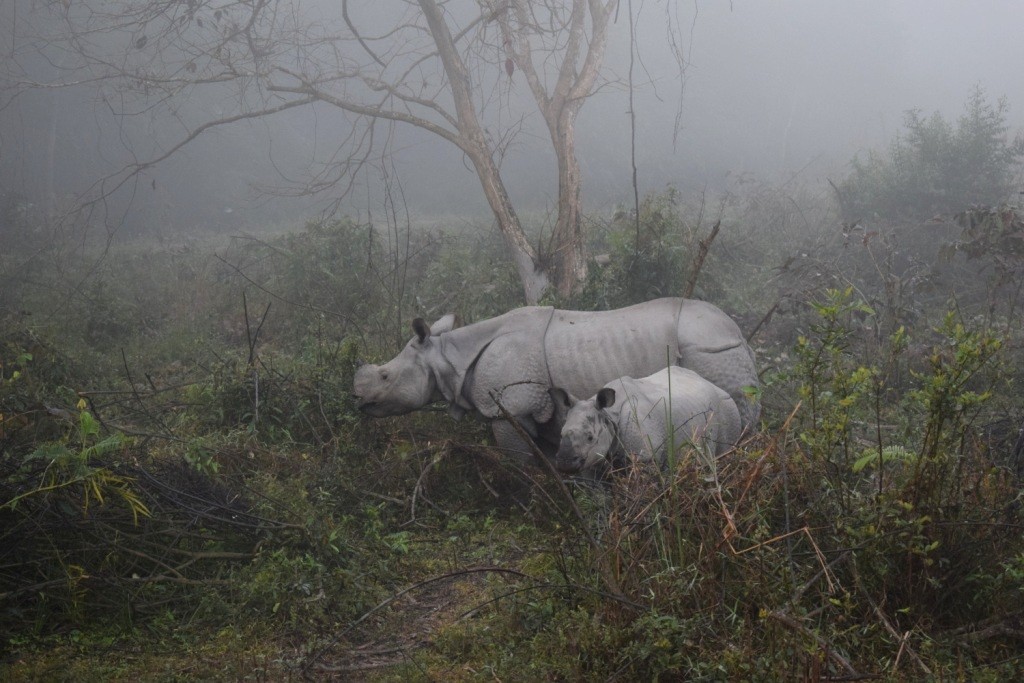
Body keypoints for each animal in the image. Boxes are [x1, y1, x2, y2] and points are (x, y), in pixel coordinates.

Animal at [352, 298, 759, 459]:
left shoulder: (511, 407)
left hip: (711, 349)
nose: (358, 399)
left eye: (385, 376)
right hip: (715, 345)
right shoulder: (544, 410)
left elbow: (521, 463)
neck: (449, 356)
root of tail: (736, 329)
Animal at [548, 366, 742, 475]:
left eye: (590, 437)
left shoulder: (646, 457)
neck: (609, 415)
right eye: (561, 434)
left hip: (728, 409)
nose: (564, 463)